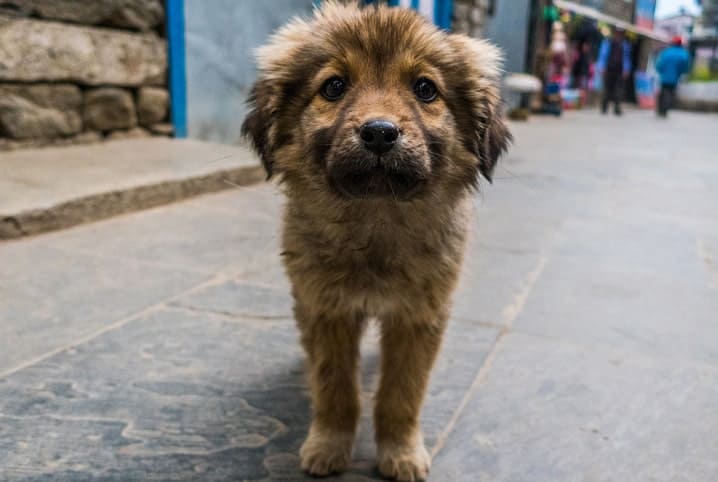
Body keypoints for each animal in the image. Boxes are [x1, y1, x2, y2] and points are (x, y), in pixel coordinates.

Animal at [243, 1, 512, 480]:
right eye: (334, 86)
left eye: (425, 89)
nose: (380, 133)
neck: (376, 221)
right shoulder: (326, 308)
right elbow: (335, 389)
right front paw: (329, 445)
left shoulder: (419, 316)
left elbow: (400, 395)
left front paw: (400, 452)